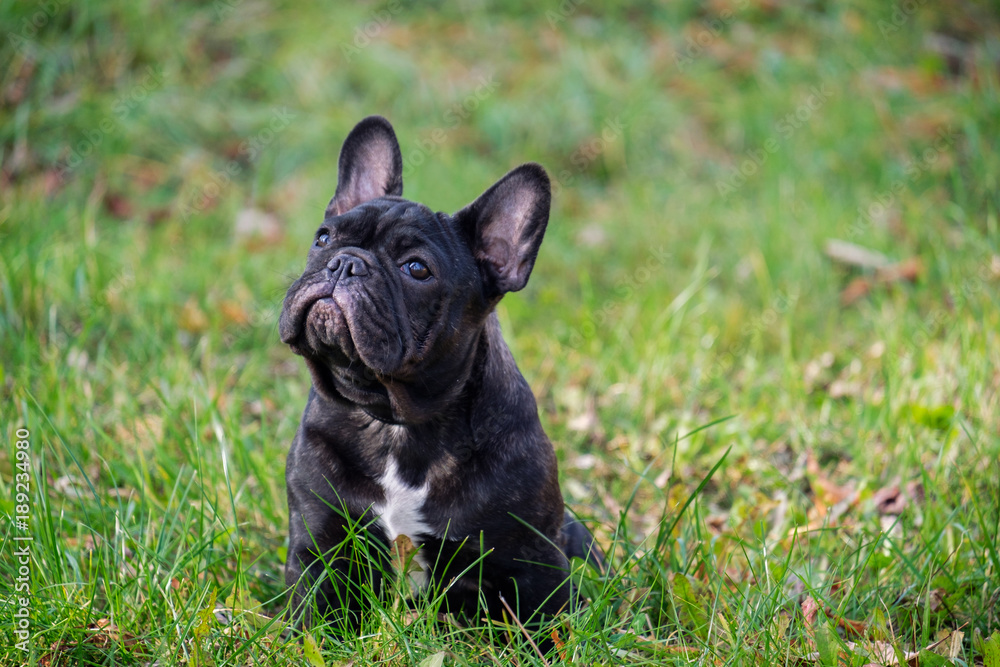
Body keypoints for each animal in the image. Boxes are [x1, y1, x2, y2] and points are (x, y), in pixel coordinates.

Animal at [278, 116, 596, 640]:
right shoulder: (320, 547)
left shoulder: (532, 563)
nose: (345, 262)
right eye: (323, 238)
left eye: (416, 269)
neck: (395, 421)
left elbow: (542, 626)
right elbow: (313, 616)